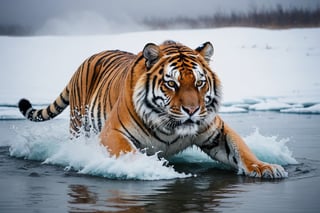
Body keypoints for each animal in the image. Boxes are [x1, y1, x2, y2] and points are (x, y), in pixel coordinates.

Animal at [18, 40, 288, 178]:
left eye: (200, 83)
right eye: (172, 83)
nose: (192, 110)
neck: (172, 127)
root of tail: (88, 57)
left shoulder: (216, 130)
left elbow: (242, 149)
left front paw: (266, 167)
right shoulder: (113, 132)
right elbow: (127, 152)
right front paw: (150, 171)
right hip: (79, 125)